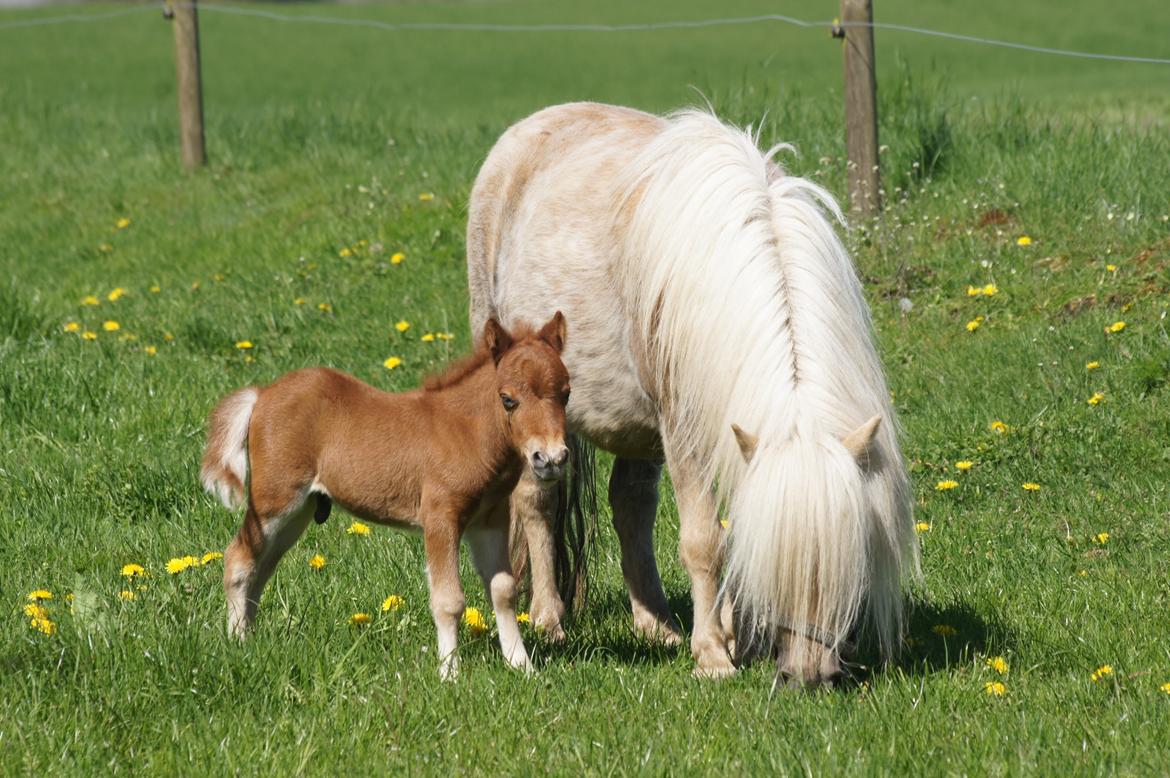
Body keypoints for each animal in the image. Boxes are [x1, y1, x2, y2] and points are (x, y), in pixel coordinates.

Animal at [201, 313, 570, 678]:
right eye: (508, 399)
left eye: (566, 394)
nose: (551, 459)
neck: (466, 433)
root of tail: (261, 394)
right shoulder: (440, 516)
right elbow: (448, 600)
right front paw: (449, 674)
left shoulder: (490, 521)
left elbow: (503, 590)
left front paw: (522, 667)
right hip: (275, 500)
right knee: (239, 557)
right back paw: (237, 641)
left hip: (299, 511)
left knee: (262, 565)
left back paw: (251, 637)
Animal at [463, 102, 912, 687]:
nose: (808, 675)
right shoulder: (685, 431)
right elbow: (704, 542)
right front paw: (714, 655)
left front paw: (731, 635)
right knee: (536, 503)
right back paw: (548, 620)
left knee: (630, 506)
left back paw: (657, 625)